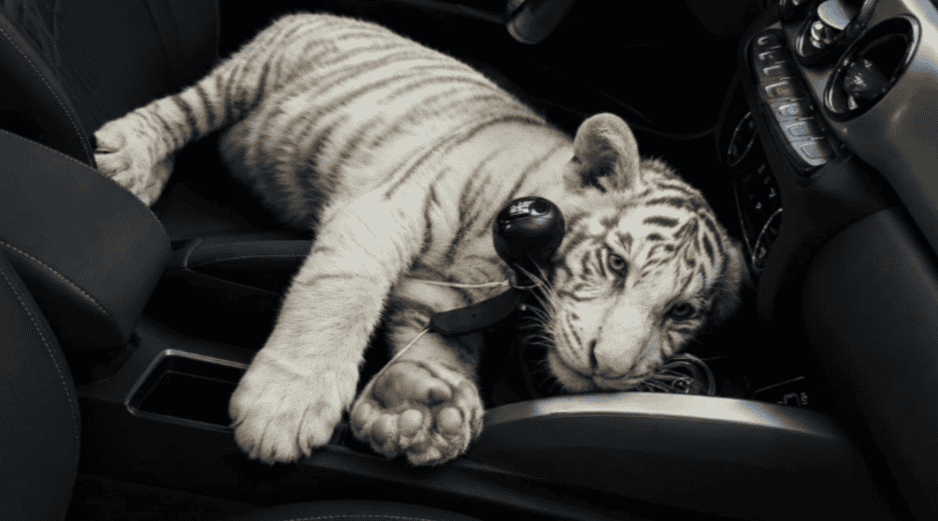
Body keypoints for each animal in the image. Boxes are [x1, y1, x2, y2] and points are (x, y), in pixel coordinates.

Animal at [92, 12, 749, 466]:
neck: (502, 266)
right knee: (183, 109)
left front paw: (418, 408)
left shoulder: (447, 291)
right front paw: (284, 406)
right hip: (248, 75)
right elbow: (339, 298)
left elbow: (437, 346)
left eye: (681, 311)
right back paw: (129, 158)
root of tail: (328, 13)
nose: (607, 368)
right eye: (615, 263)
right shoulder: (382, 211)